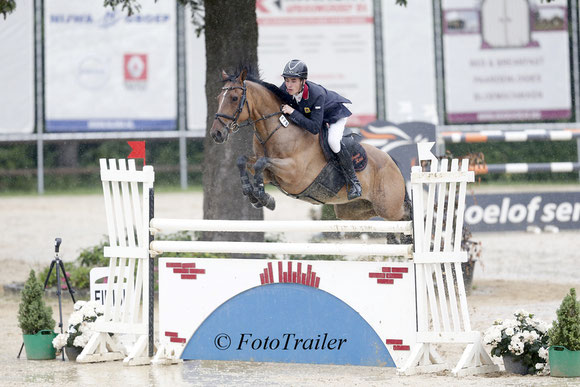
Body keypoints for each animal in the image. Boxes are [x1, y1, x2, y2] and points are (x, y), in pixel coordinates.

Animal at [210, 65, 408, 220]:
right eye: (218, 98)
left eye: (234, 98)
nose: (216, 134)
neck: (278, 129)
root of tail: (391, 161)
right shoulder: (268, 174)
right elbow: (244, 160)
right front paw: (254, 195)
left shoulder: (294, 173)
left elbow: (261, 162)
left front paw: (262, 196)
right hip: (354, 210)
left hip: (389, 208)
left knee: (405, 216)